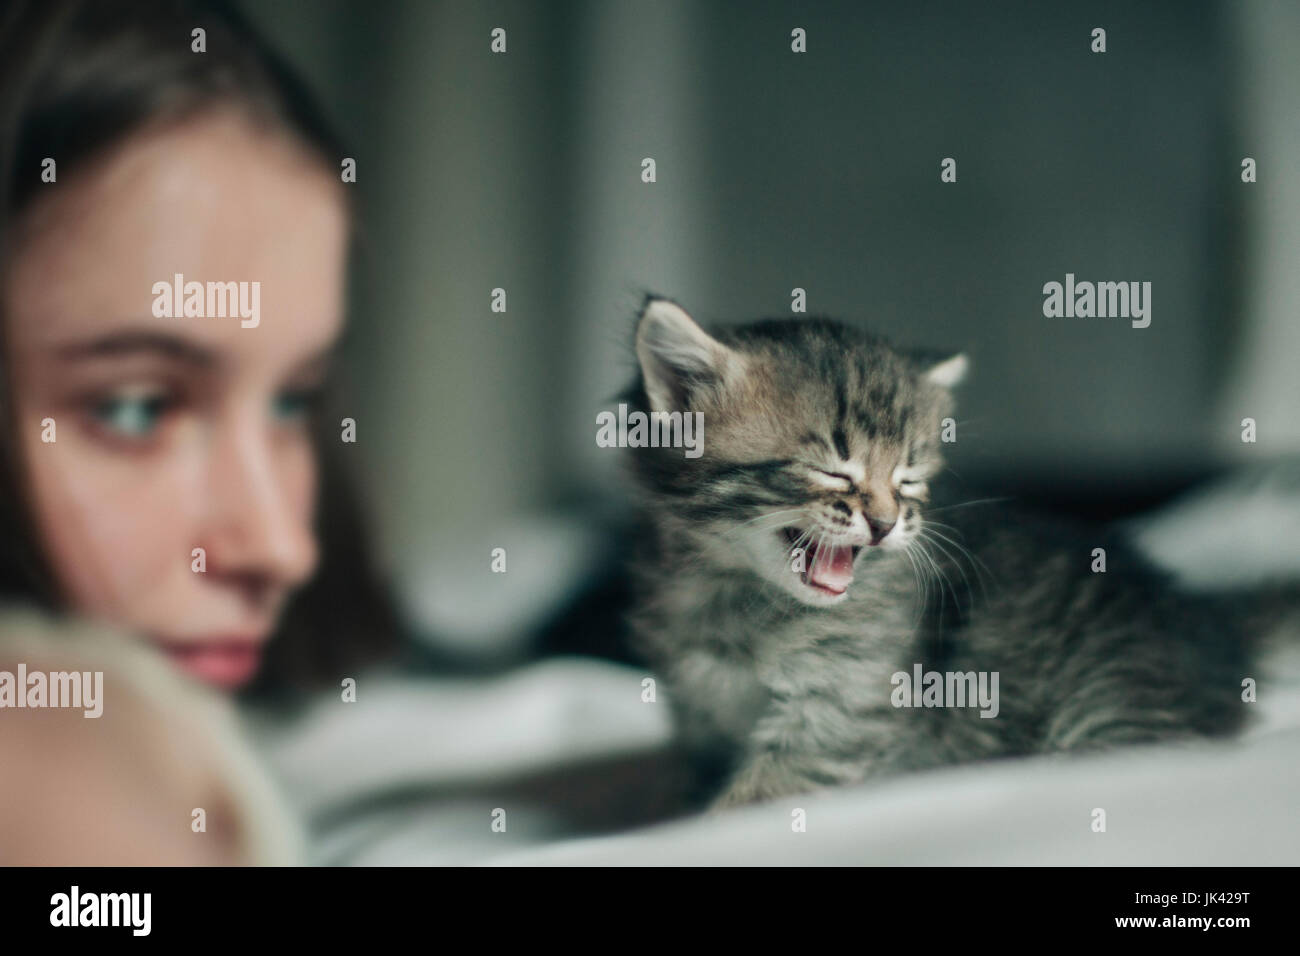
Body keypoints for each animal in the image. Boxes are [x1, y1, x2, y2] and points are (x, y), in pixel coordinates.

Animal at [624, 295, 1253, 811]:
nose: (884, 524)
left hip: (1106, 712)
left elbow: (750, 802)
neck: (730, 591)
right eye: (834, 471)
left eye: (907, 480)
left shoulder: (841, 715)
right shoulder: (700, 721)